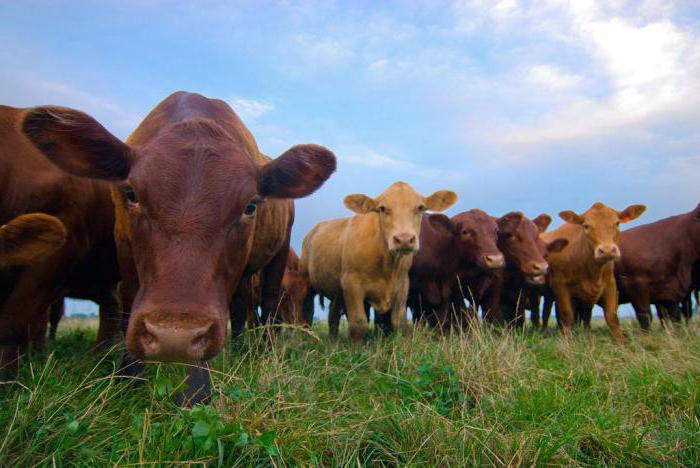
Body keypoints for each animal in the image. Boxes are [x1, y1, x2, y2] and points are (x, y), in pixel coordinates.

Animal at [23, 92, 334, 406]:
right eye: (131, 193)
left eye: (251, 205)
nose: (174, 337)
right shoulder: (124, 248)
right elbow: (129, 303)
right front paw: (130, 378)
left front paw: (196, 391)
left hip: (277, 255)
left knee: (267, 305)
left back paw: (261, 352)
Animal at [300, 181, 460, 342]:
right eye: (382, 208)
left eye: (420, 207)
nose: (404, 239)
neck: (387, 265)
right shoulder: (351, 284)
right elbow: (358, 323)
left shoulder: (402, 284)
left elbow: (399, 322)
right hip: (306, 279)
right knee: (307, 309)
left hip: (337, 292)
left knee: (333, 315)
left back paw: (333, 340)